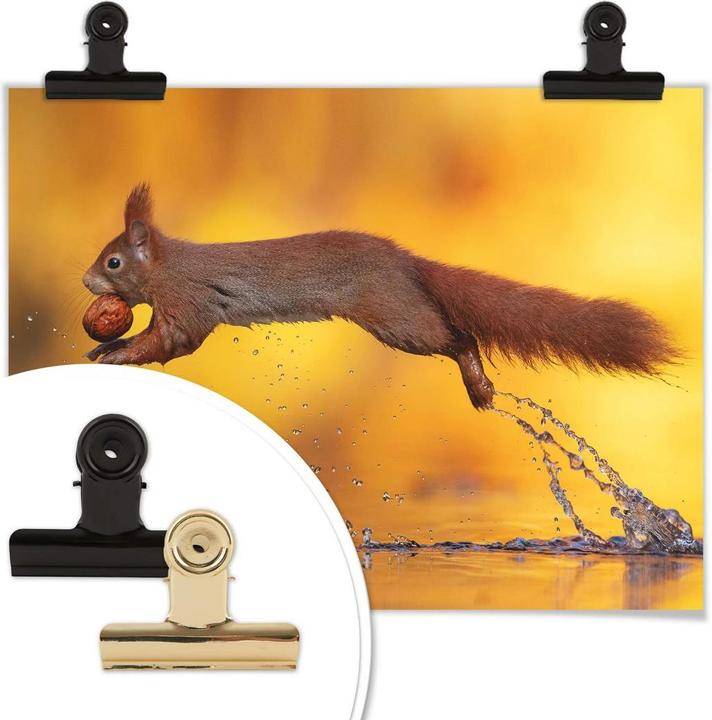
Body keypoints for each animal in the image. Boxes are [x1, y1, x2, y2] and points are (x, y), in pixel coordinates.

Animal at [83, 184, 677, 409]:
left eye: (113, 261)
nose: (87, 281)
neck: (168, 265)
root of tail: (408, 263)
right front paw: (103, 346)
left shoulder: (189, 303)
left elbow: (171, 342)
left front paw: (116, 352)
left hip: (397, 317)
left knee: (459, 337)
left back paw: (479, 384)